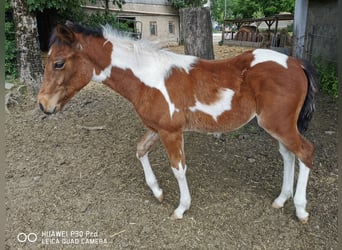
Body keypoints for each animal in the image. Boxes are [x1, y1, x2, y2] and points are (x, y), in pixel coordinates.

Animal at [37, 22, 318, 224]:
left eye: (58, 63)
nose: (42, 104)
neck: (147, 78)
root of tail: (295, 62)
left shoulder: (171, 131)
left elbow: (178, 168)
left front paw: (181, 208)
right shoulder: (157, 128)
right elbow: (140, 150)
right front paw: (158, 192)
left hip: (278, 124)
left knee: (305, 151)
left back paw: (301, 210)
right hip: (277, 126)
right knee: (288, 154)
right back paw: (281, 199)